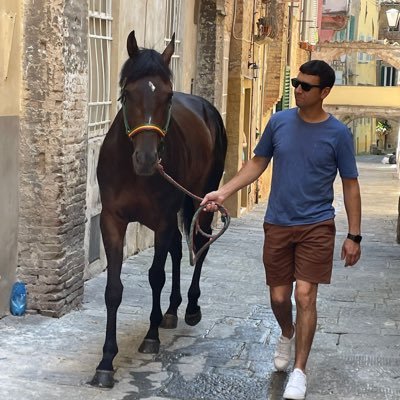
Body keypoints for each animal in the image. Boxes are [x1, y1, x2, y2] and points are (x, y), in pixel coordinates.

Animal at [91, 31, 228, 388]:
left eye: (167, 97)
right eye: (127, 93)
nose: (148, 159)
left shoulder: (163, 220)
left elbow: (155, 275)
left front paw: (150, 337)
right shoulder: (112, 221)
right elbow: (113, 289)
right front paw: (106, 362)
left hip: (201, 199)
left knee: (199, 245)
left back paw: (190, 308)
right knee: (179, 251)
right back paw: (171, 311)